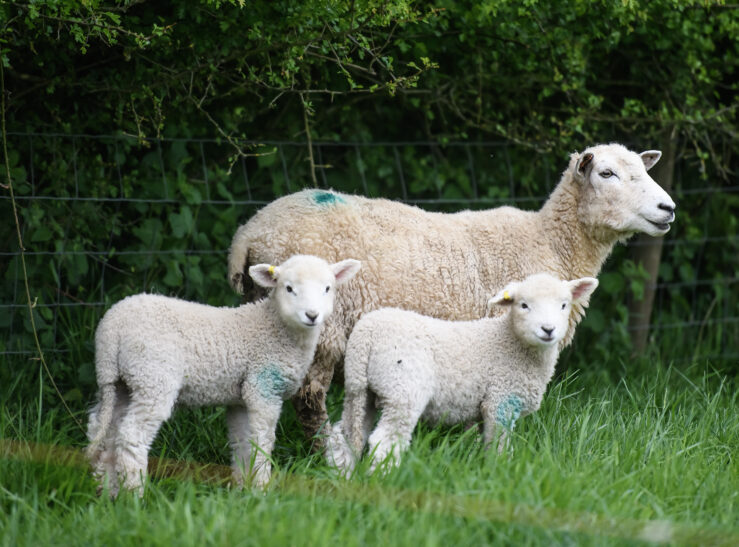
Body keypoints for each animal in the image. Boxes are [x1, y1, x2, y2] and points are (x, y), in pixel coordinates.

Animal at [86, 254, 362, 496]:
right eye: (289, 288)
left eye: (327, 288)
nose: (312, 315)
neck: (275, 328)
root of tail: (112, 327)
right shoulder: (262, 387)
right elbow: (262, 441)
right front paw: (262, 489)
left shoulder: (239, 399)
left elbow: (242, 444)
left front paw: (244, 490)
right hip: (153, 376)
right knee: (131, 436)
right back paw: (135, 494)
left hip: (119, 382)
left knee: (103, 433)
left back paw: (106, 491)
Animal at [228, 141, 680, 440]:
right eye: (607, 174)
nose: (669, 209)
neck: (548, 243)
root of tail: (249, 232)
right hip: (321, 327)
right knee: (308, 399)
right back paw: (326, 452)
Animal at [326, 276, 600, 474]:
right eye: (524, 305)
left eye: (564, 305)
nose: (548, 329)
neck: (510, 342)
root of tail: (366, 334)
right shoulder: (500, 400)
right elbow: (499, 445)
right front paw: (500, 472)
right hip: (403, 389)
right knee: (385, 441)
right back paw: (383, 477)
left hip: (360, 390)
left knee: (346, 433)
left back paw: (344, 473)